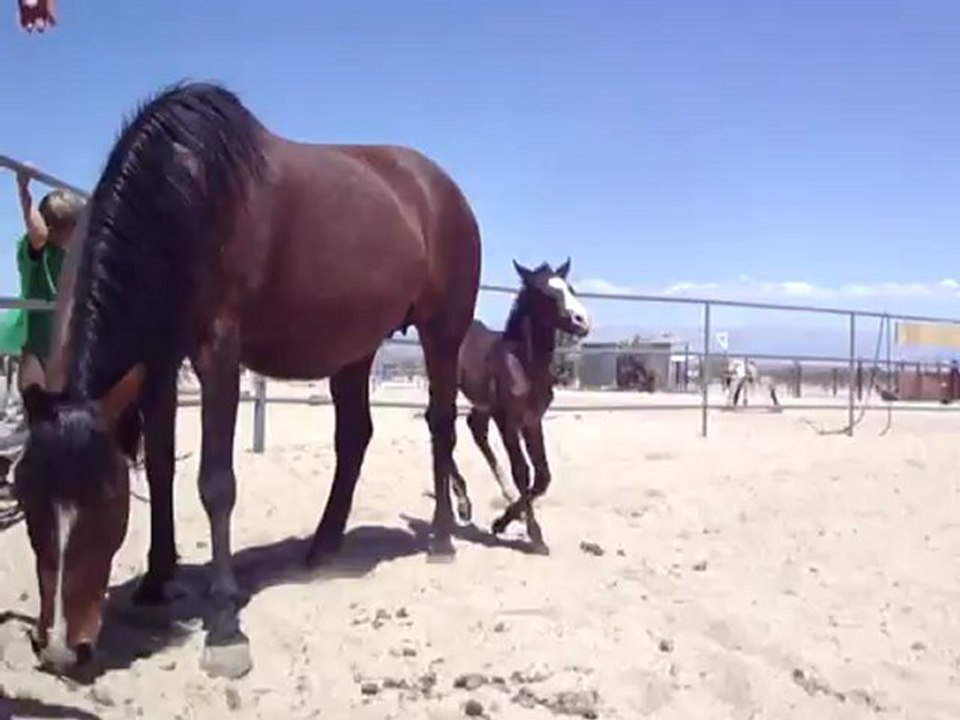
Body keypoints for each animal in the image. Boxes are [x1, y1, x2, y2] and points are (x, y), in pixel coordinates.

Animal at [12, 81, 481, 678]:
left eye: (106, 498)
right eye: (26, 494)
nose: (56, 648)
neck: (183, 192)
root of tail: (442, 187)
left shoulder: (219, 351)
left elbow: (216, 483)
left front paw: (225, 626)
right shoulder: (162, 357)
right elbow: (161, 466)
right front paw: (157, 580)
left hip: (442, 332)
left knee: (441, 425)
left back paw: (441, 539)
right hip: (355, 346)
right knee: (355, 436)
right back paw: (323, 548)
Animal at [449, 259, 590, 554]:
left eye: (570, 288)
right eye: (546, 294)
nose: (582, 321)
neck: (524, 363)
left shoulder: (532, 420)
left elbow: (543, 476)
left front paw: (502, 522)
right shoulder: (508, 420)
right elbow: (522, 472)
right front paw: (535, 535)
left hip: (484, 405)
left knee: (474, 427)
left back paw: (501, 494)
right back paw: (463, 503)